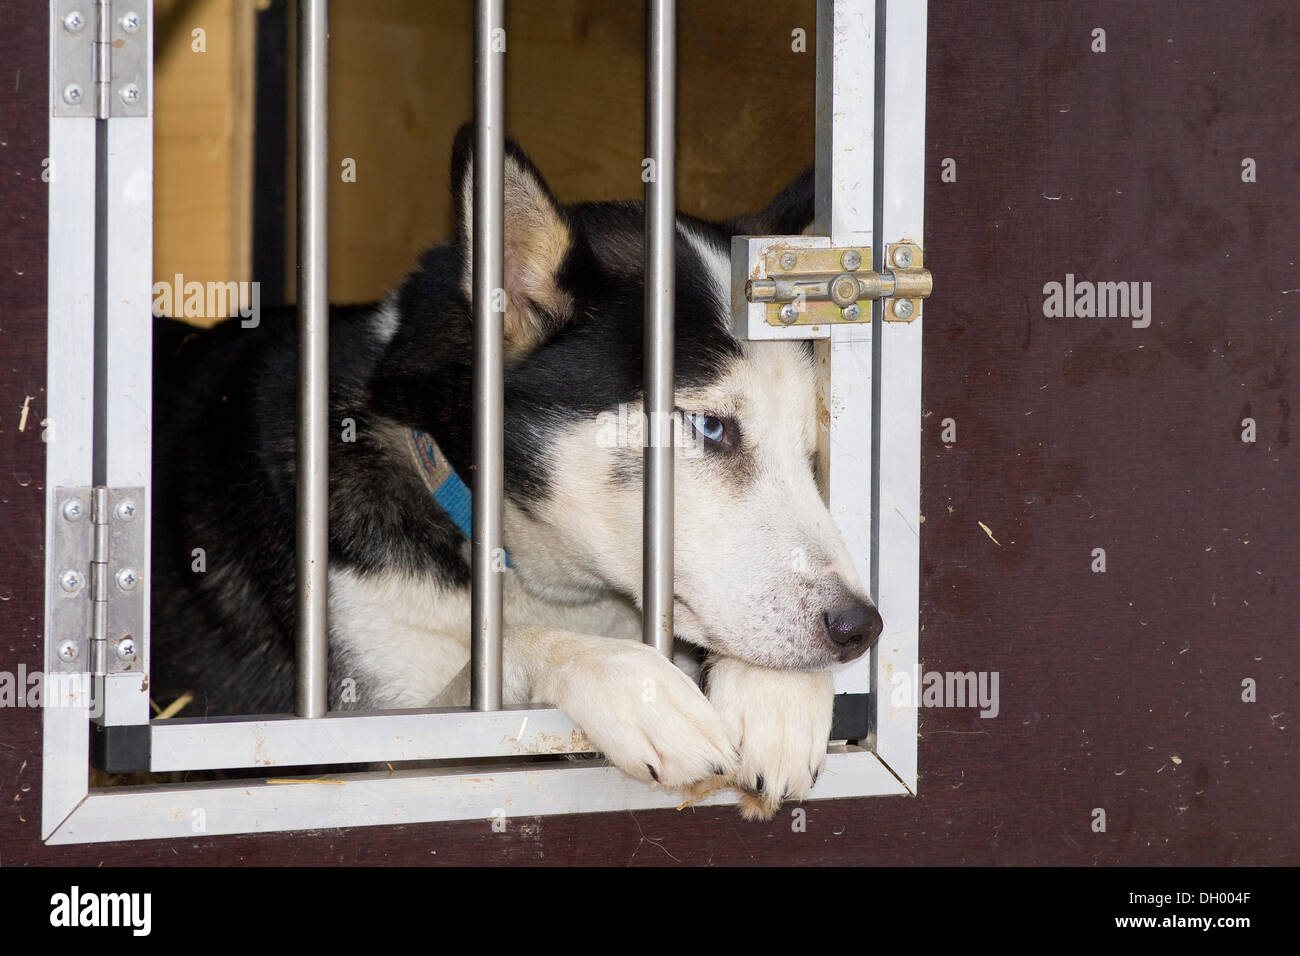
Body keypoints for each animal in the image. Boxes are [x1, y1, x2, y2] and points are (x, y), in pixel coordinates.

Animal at [149, 127, 883, 816]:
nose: (859, 627)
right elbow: (490, 671)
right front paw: (630, 680)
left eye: (809, 448)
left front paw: (777, 691)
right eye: (710, 427)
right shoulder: (356, 729)